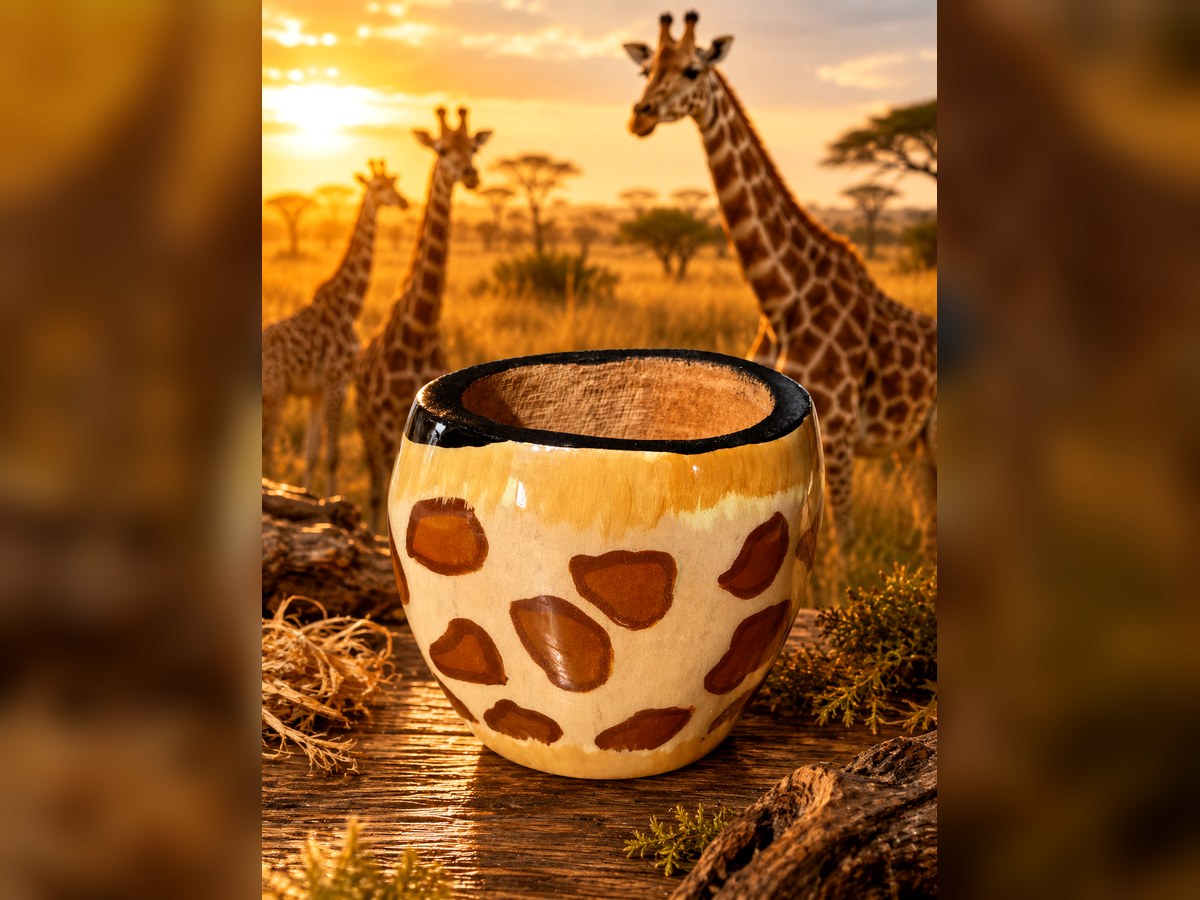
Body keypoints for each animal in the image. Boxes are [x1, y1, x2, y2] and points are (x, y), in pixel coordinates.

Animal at [262, 160, 408, 495]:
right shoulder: (336, 383)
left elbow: (312, 454)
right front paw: (330, 498)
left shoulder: (316, 390)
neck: (348, 308)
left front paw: (309, 493)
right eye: (379, 187)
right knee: (267, 448)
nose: (404, 202)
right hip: (275, 392)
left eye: (394, 185)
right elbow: (332, 456)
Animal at [356, 107, 492, 530]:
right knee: (373, 481)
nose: (470, 175)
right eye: (441, 148)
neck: (420, 330)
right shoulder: (387, 421)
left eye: (473, 149)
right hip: (366, 423)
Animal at [624, 11, 938, 557]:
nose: (640, 116)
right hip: (909, 442)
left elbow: (843, 547)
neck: (781, 297)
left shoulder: (836, 428)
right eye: (646, 70)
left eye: (691, 70)